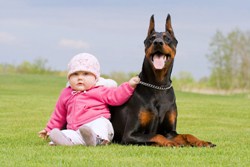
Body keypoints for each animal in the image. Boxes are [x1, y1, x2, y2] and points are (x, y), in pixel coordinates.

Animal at [110, 14, 216, 147]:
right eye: (152, 38)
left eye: (167, 39)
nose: (158, 43)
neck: (159, 85)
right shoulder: (129, 135)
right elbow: (157, 135)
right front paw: (171, 143)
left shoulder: (170, 131)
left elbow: (186, 135)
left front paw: (201, 141)